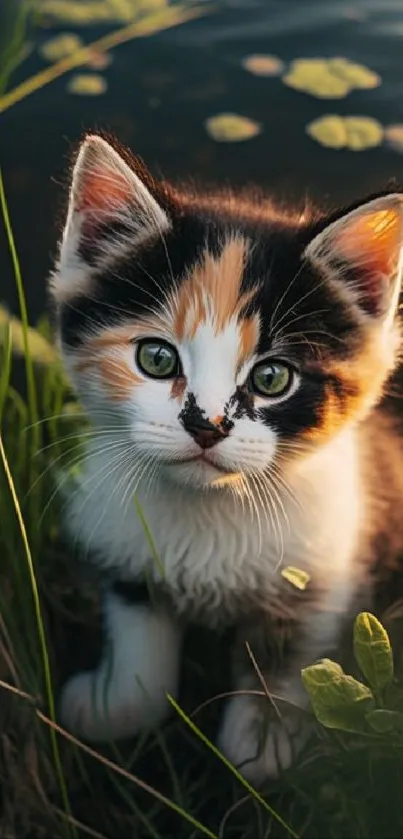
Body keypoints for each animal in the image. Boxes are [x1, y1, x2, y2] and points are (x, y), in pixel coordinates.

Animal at [51, 135, 403, 784]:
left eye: (272, 378)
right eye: (157, 358)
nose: (207, 425)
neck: (211, 510)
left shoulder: (327, 563)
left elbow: (287, 659)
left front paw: (264, 747)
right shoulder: (125, 543)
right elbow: (140, 647)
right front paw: (111, 707)